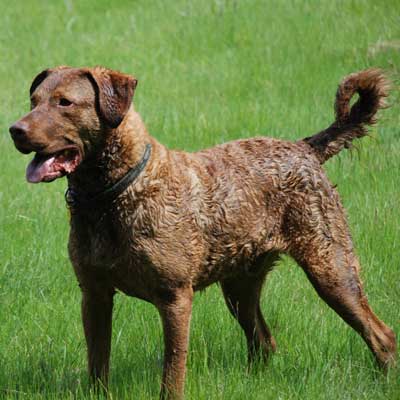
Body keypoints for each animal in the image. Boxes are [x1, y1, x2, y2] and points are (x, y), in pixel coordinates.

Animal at [9, 67, 396, 398]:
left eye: (64, 102)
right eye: (33, 100)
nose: (15, 130)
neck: (112, 197)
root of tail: (305, 148)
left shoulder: (175, 297)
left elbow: (172, 371)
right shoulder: (94, 294)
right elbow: (97, 364)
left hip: (331, 267)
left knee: (382, 334)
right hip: (240, 285)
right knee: (263, 341)